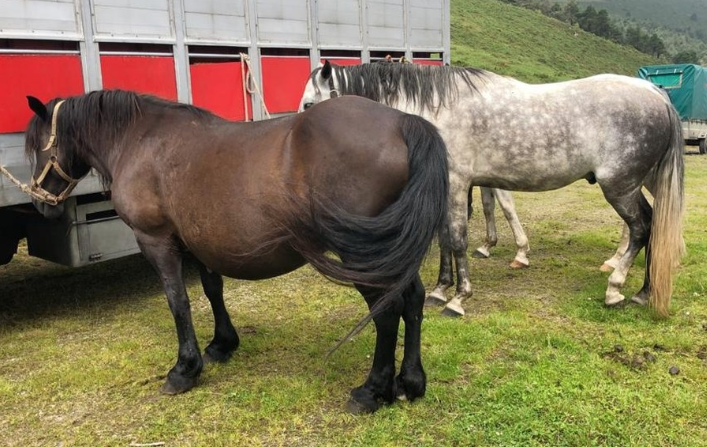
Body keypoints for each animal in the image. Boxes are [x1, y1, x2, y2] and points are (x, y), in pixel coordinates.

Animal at [26, 90, 454, 412]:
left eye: (36, 147)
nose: (40, 203)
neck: (142, 140)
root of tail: (401, 122)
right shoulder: (198, 240)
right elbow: (212, 290)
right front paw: (222, 344)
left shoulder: (156, 240)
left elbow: (177, 301)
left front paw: (184, 369)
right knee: (412, 299)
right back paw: (411, 382)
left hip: (363, 254)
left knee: (386, 310)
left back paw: (372, 391)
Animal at [300, 62, 684, 318]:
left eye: (308, 104)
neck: (436, 110)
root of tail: (655, 94)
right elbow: (445, 238)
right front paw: (440, 290)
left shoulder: (457, 184)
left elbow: (457, 239)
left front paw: (459, 298)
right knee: (655, 226)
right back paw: (643, 291)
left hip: (620, 187)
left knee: (642, 228)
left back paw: (616, 289)